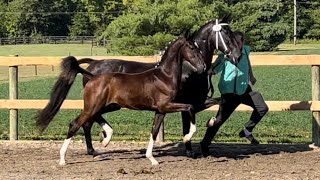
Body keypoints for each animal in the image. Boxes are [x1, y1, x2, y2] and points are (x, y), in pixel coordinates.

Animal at [36, 37, 206, 165]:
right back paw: (63, 159)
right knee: (75, 124)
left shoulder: (160, 110)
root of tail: (91, 76)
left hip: (109, 105)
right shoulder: (166, 105)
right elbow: (190, 107)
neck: (164, 77)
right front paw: (187, 137)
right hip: (93, 106)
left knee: (88, 122)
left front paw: (152, 159)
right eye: (192, 47)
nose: (203, 66)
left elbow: (154, 131)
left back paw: (104, 141)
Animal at [77, 15, 240, 156]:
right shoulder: (185, 103)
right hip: (102, 104)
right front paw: (189, 150)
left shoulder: (197, 101)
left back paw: (97, 145)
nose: (237, 55)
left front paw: (211, 122)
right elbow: (187, 125)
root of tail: (93, 64)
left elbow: (219, 101)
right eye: (226, 32)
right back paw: (97, 146)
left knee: (88, 120)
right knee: (87, 121)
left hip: (111, 105)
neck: (189, 69)